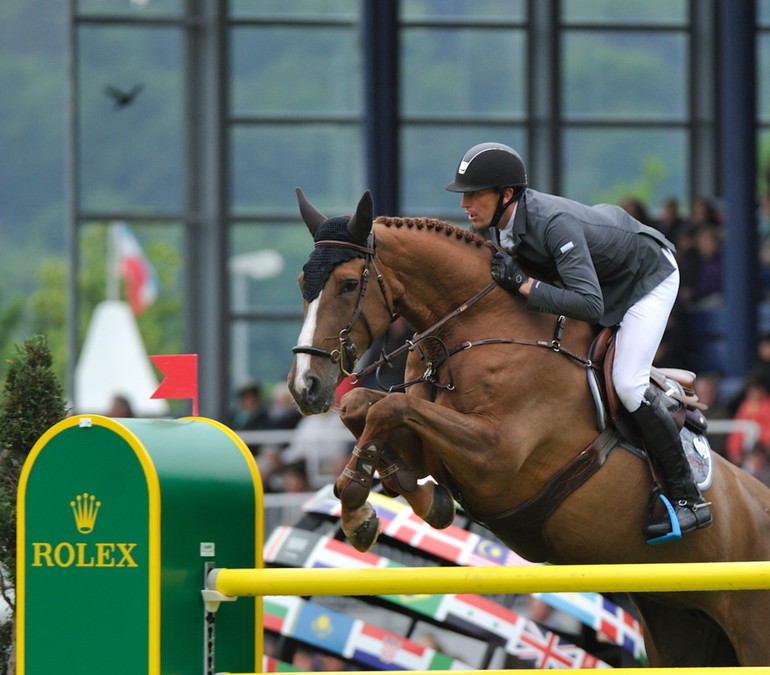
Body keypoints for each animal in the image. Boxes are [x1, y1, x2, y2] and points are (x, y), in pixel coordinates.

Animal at [288, 187, 770, 668]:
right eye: (301, 283)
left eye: (349, 284)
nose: (304, 386)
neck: (477, 329)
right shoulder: (435, 444)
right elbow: (365, 408)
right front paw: (407, 499)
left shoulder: (494, 456)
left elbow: (388, 410)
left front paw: (357, 509)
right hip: (679, 621)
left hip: (749, 627)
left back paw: (687, 509)